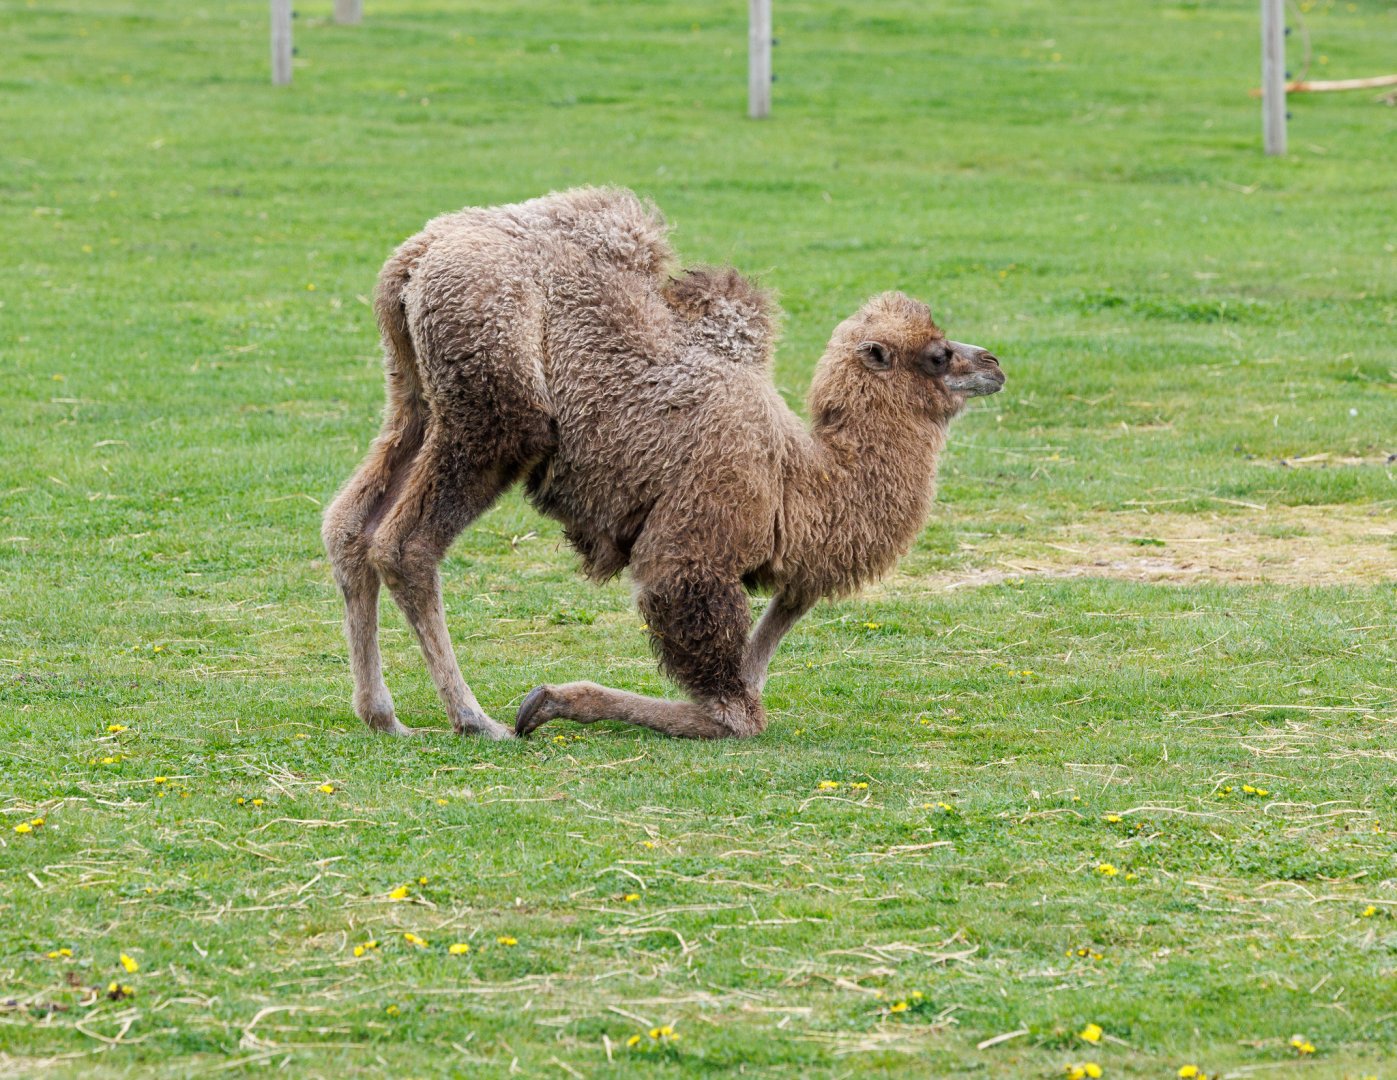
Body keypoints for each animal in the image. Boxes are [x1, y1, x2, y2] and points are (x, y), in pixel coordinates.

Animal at [321, 187, 1005, 740]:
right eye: (938, 355)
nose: (994, 363)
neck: (801, 481)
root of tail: (416, 256)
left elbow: (755, 667)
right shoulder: (695, 543)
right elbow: (734, 711)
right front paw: (551, 701)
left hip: (414, 390)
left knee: (348, 523)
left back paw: (382, 714)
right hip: (496, 408)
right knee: (405, 544)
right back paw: (473, 718)